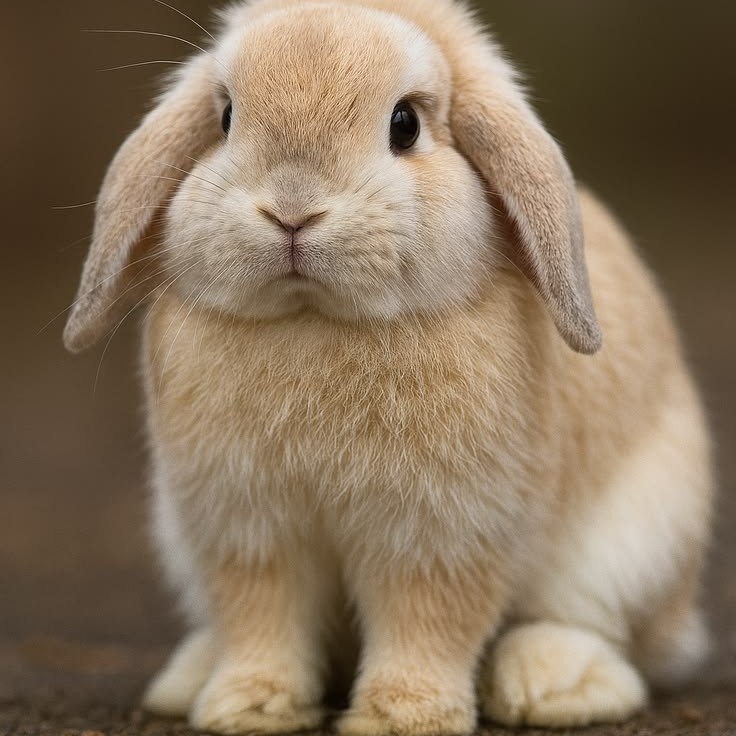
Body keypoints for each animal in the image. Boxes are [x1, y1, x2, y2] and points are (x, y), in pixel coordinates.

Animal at [64, 0, 714, 733]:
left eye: (405, 125)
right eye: (226, 117)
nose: (292, 210)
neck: (317, 320)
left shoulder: (441, 532)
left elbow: (426, 622)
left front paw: (401, 716)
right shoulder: (246, 527)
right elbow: (262, 618)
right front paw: (248, 707)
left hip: (632, 547)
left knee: (601, 632)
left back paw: (551, 684)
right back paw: (189, 677)